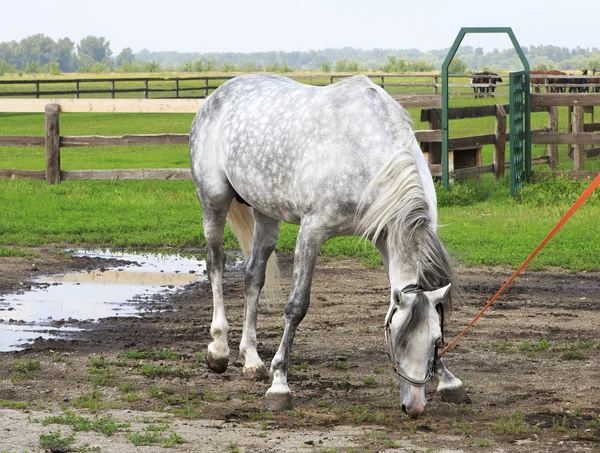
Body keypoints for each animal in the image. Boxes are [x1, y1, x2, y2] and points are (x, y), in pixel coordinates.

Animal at [188, 75, 468, 416]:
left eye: (436, 340)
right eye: (397, 339)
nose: (413, 407)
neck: (361, 149)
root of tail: (217, 94)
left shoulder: (386, 238)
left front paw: (448, 379)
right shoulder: (312, 231)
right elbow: (296, 306)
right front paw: (279, 384)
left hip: (266, 213)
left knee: (253, 276)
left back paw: (252, 361)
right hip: (213, 200)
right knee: (215, 263)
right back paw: (218, 350)